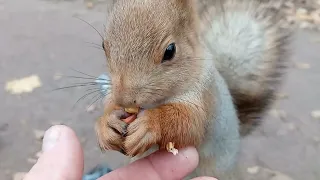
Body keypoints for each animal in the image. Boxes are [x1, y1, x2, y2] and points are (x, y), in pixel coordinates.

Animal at [94, 0, 292, 179]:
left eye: (170, 50)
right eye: (104, 46)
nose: (125, 99)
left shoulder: (205, 96)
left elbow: (190, 123)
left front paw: (150, 124)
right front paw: (107, 124)